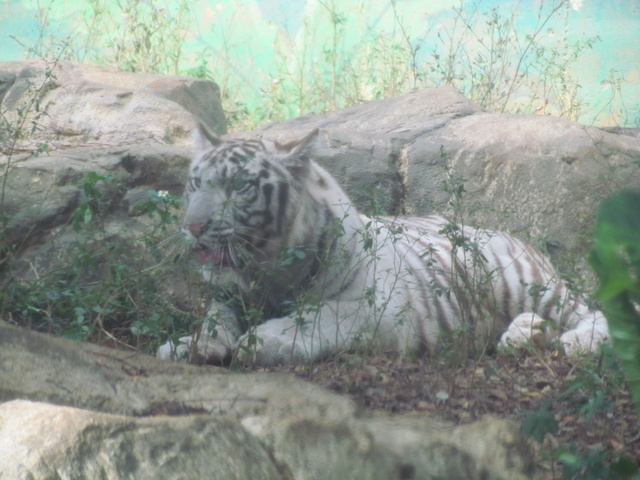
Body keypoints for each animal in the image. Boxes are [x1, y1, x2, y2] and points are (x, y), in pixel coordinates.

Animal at [158, 125, 608, 366]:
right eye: (195, 183)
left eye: (239, 186)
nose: (192, 226)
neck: (264, 275)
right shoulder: (227, 297)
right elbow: (213, 321)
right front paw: (184, 346)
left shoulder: (383, 311)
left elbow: (321, 316)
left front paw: (264, 340)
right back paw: (522, 335)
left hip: (531, 284)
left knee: (593, 313)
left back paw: (576, 342)